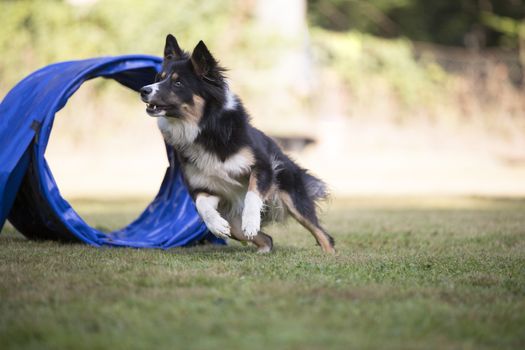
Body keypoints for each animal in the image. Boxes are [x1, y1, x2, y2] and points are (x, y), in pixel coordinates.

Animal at [140, 35, 336, 253]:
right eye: (159, 77)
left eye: (178, 83)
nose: (143, 90)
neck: (205, 130)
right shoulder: (205, 187)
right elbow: (201, 205)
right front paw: (216, 225)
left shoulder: (263, 167)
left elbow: (252, 194)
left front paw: (250, 221)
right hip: (234, 221)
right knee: (264, 237)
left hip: (293, 197)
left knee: (323, 235)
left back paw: (330, 254)